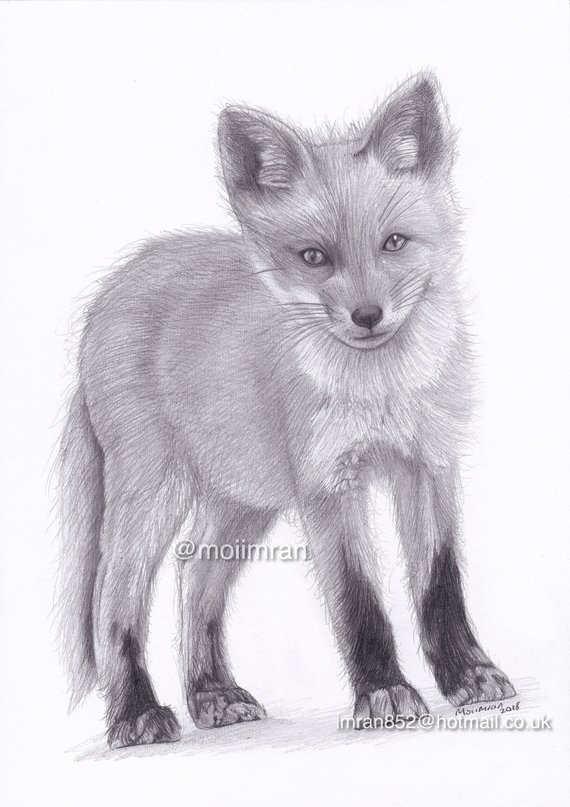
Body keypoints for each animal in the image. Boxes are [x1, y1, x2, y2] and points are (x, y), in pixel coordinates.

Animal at [57, 72, 515, 748]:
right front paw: (384, 691)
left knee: (194, 576)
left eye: (394, 243)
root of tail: (114, 287)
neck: (378, 390)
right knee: (115, 595)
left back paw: (211, 694)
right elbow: (359, 598)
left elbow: (440, 585)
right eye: (314, 257)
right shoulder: (328, 484)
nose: (367, 316)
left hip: (242, 501)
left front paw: (469, 676)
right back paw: (136, 713)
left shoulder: (428, 464)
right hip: (154, 492)